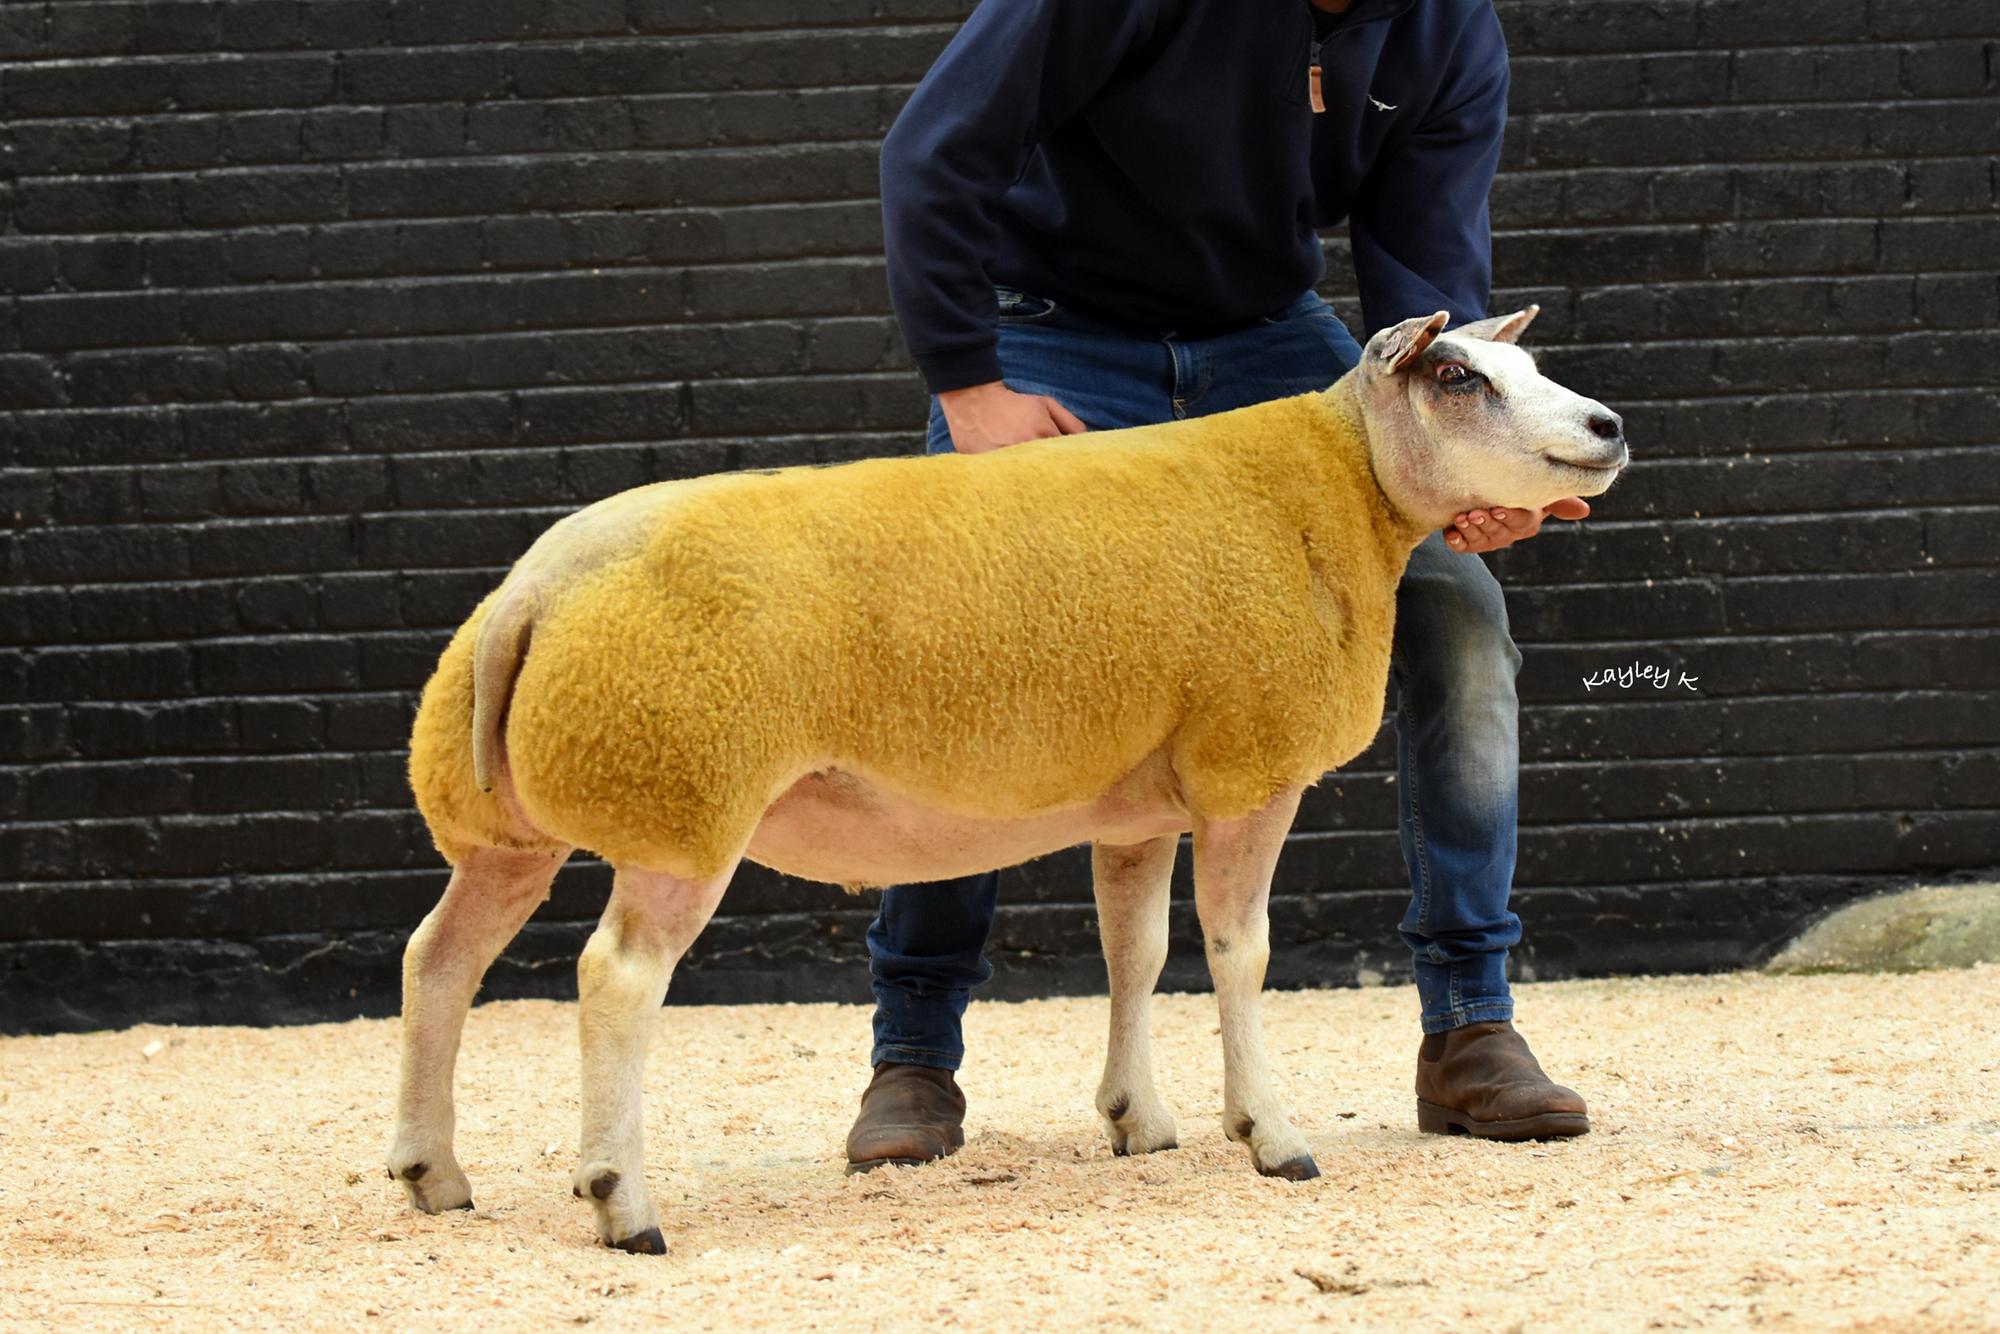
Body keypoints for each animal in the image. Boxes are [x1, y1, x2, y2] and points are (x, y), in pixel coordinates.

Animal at [388, 307, 1627, 1253]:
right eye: (1457, 376)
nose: (1608, 426)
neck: (1335, 495)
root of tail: (535, 587)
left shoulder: (1137, 801)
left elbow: (1136, 951)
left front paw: (1138, 1118)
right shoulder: (1245, 766)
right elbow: (1239, 953)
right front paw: (1269, 1135)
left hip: (509, 823)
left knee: (438, 959)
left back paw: (430, 1170)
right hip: (678, 797)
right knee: (614, 981)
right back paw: (622, 1203)